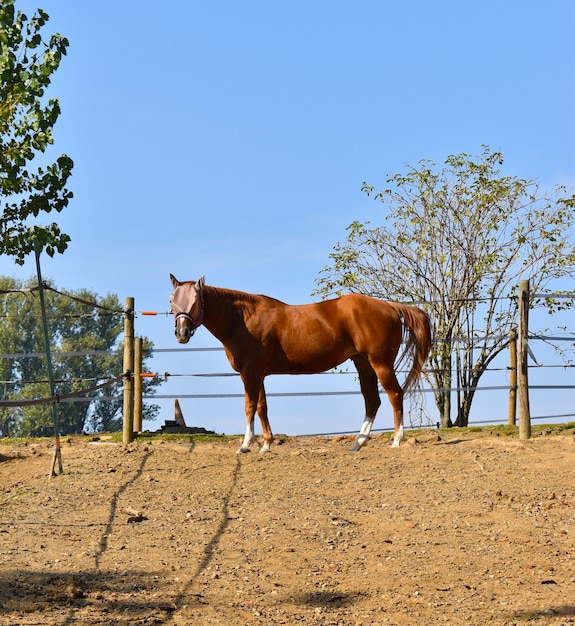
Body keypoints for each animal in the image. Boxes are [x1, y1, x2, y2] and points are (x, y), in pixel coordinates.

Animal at [170, 276, 432, 450]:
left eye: (196, 300)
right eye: (172, 299)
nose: (182, 332)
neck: (243, 319)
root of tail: (389, 306)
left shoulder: (250, 372)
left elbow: (249, 406)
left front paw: (245, 445)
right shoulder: (258, 374)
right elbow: (262, 406)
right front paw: (266, 444)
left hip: (381, 363)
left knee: (395, 394)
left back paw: (396, 440)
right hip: (363, 363)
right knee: (372, 400)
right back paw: (358, 443)